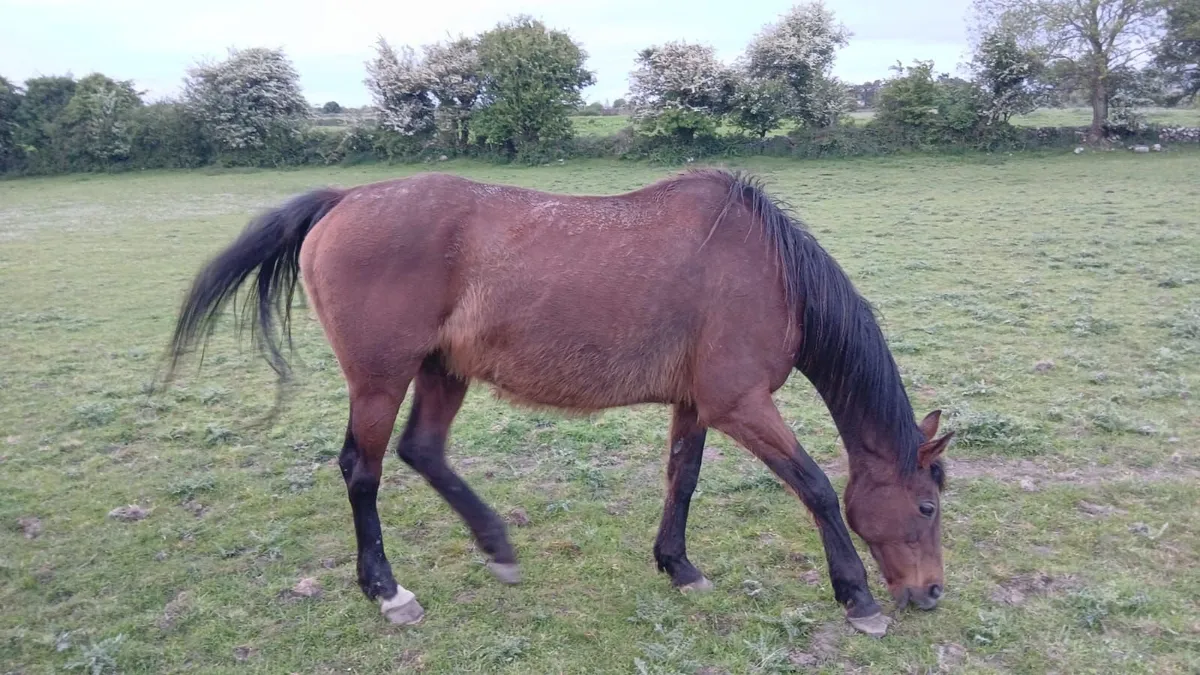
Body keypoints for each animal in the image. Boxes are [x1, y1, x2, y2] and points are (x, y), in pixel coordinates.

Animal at [165, 167, 953, 637]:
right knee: (363, 471)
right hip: (380, 380)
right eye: (926, 506)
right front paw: (857, 597)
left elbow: (683, 479)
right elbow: (816, 487)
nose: (931, 593)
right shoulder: (741, 403)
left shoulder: (697, 404)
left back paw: (497, 544)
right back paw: (388, 591)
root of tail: (344, 200)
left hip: (443, 371)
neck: (770, 270)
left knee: (423, 451)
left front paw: (678, 565)